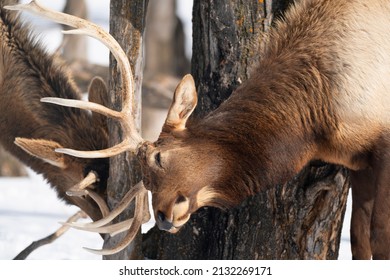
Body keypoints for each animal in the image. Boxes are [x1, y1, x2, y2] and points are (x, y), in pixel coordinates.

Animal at [1, 0, 388, 260]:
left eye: (158, 157)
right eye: (144, 184)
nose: (164, 216)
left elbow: (377, 238)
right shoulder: (358, 162)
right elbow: (361, 243)